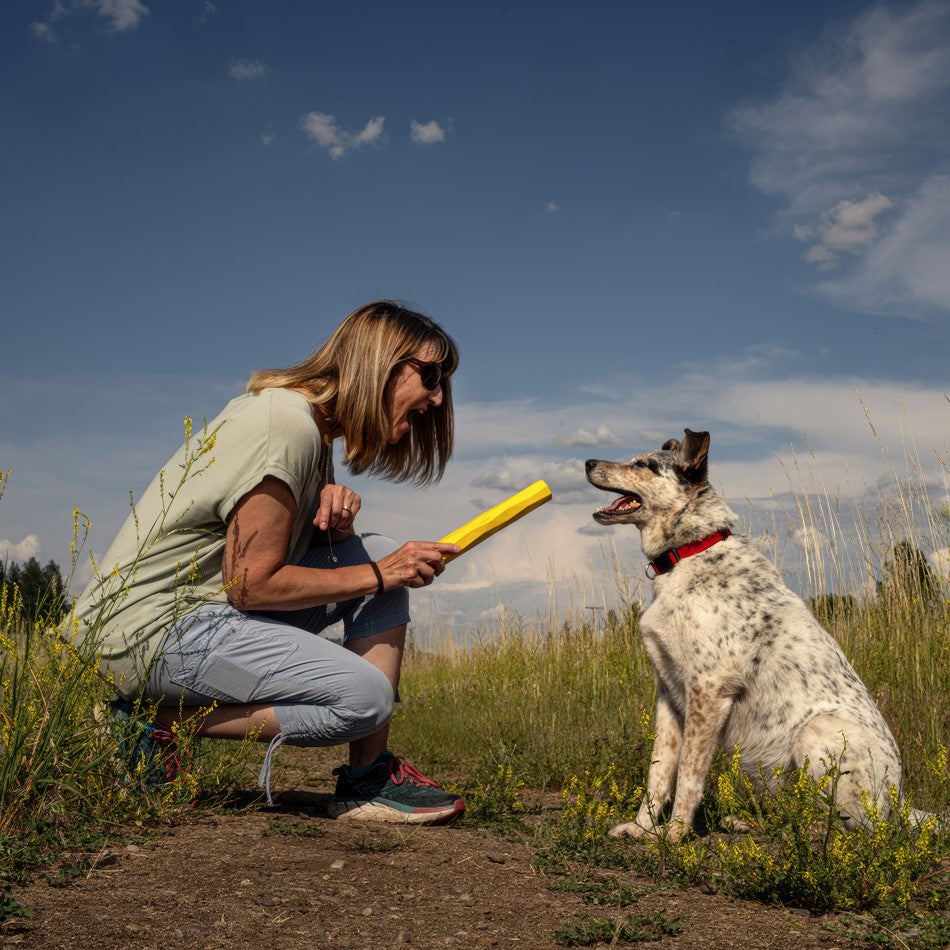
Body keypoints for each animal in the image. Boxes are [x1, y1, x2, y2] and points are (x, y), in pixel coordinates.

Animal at [588, 432, 916, 840]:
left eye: (644, 465)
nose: (587, 462)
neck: (688, 552)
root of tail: (900, 808)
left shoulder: (708, 691)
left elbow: (689, 776)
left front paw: (675, 835)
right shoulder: (668, 693)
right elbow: (659, 771)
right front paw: (642, 827)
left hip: (817, 730)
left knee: (848, 828)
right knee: (795, 811)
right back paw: (750, 823)